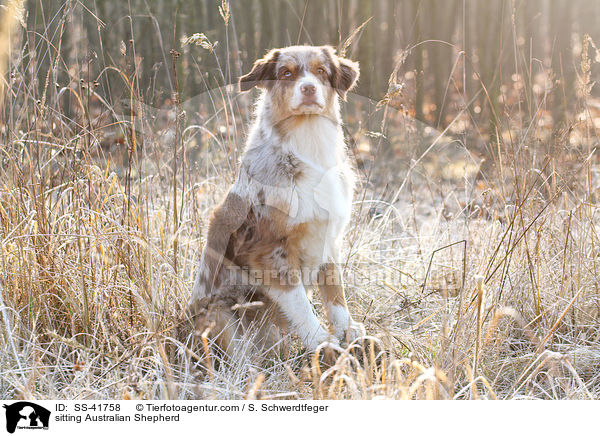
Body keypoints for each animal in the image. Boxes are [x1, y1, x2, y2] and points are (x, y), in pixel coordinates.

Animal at [189, 46, 366, 356]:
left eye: (321, 71)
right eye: (286, 73)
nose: (308, 88)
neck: (309, 143)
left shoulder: (330, 238)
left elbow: (335, 290)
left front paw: (347, 328)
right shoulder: (268, 250)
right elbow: (297, 299)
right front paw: (319, 339)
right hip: (220, 314)